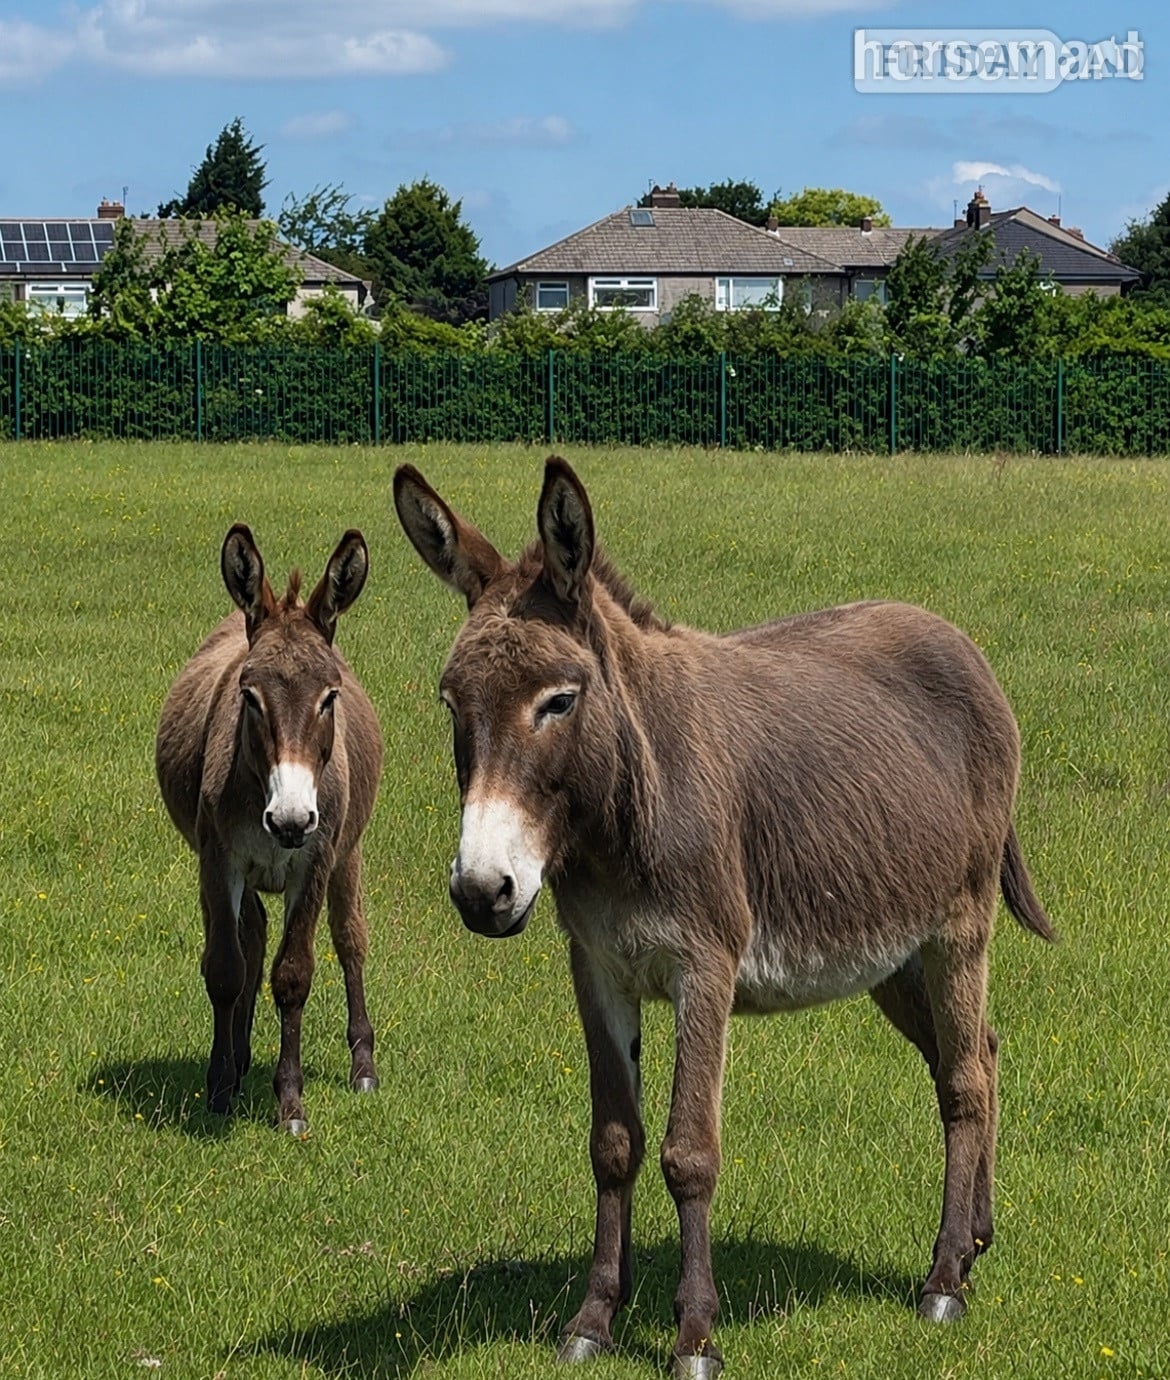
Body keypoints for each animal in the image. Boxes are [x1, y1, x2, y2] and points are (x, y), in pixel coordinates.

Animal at [155, 524, 384, 1133]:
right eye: (248, 696)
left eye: (329, 697)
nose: (289, 819)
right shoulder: (219, 860)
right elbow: (226, 970)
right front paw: (219, 1088)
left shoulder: (315, 860)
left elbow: (294, 974)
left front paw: (290, 1103)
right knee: (251, 939)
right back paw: (238, 1059)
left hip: (349, 854)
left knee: (350, 940)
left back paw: (363, 1066)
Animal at [393, 457, 1055, 1378]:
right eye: (452, 705)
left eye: (558, 702)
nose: (480, 891)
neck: (623, 813)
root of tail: (954, 637)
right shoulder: (598, 967)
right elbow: (614, 1143)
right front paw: (592, 1321)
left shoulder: (703, 966)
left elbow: (689, 1152)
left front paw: (694, 1336)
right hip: (892, 951)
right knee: (979, 1056)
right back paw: (978, 1239)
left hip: (958, 925)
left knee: (961, 1083)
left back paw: (945, 1279)